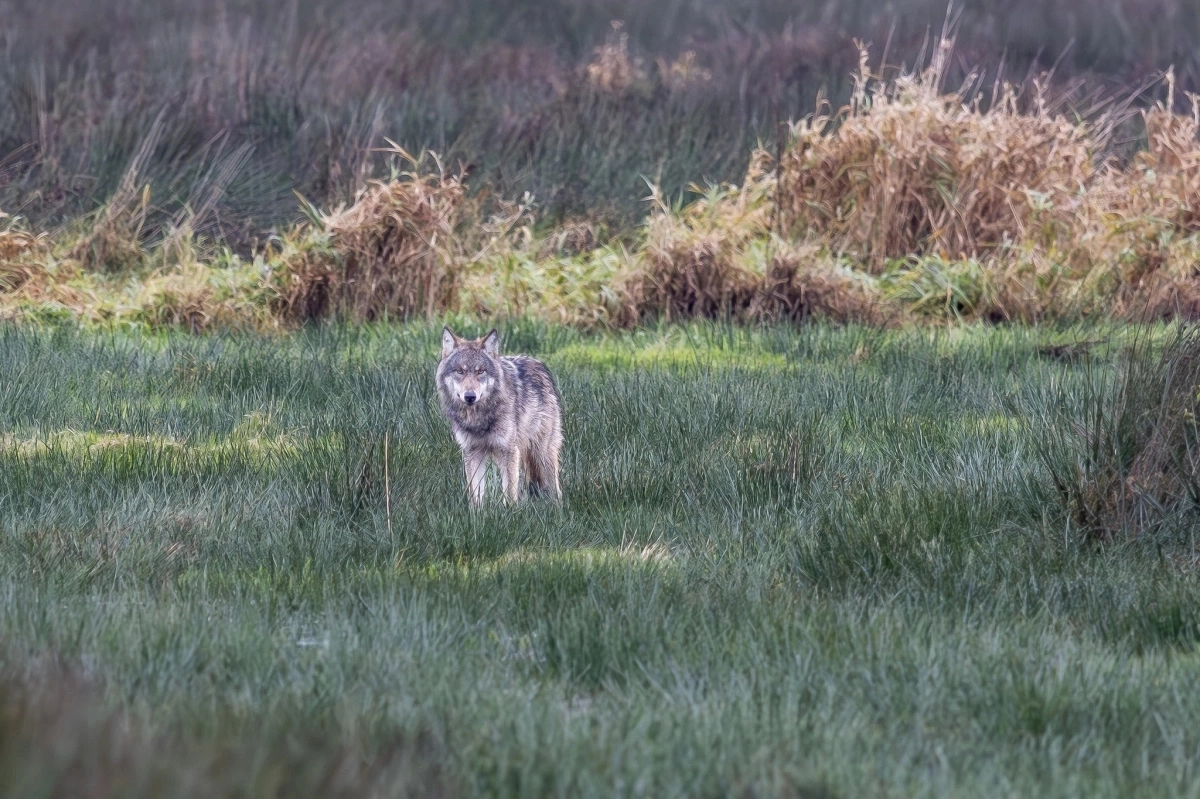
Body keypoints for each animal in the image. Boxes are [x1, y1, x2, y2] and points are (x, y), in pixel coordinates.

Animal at [436, 326, 561, 503]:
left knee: (555, 488)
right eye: (460, 371)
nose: (470, 396)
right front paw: (477, 511)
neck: (479, 419)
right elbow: (475, 495)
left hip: (542, 452)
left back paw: (558, 506)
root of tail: (537, 364)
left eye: (480, 371)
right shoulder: (472, 452)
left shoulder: (508, 452)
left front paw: (509, 511)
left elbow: (509, 494)